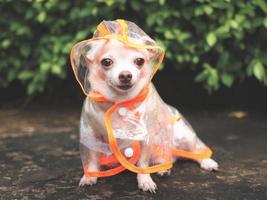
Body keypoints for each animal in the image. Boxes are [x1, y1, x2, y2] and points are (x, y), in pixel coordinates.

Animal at [76, 38, 219, 194]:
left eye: (139, 61)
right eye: (106, 62)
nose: (125, 75)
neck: (121, 101)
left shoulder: (145, 137)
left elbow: (143, 163)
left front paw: (145, 181)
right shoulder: (91, 136)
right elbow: (92, 160)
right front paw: (89, 176)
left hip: (184, 137)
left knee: (196, 150)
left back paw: (207, 162)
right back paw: (163, 169)